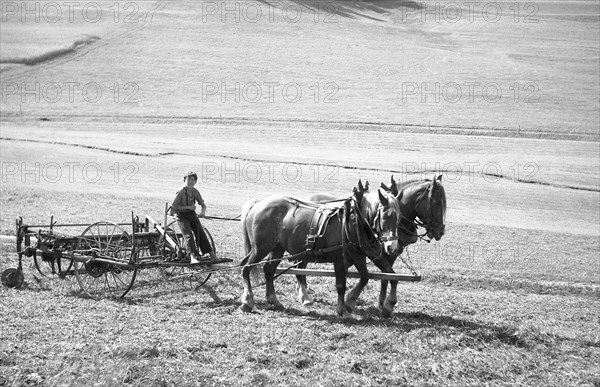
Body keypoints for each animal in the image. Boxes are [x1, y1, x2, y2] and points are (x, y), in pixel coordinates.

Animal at [239, 180, 404, 316]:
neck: (354, 221)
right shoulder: (339, 259)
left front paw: (350, 303)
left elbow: (368, 276)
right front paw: (343, 310)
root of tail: (258, 204)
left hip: (277, 248)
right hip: (261, 247)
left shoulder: (359, 255)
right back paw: (248, 301)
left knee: (268, 270)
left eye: (399, 217)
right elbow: (341, 285)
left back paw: (274, 301)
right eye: (385, 216)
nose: (392, 247)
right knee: (246, 267)